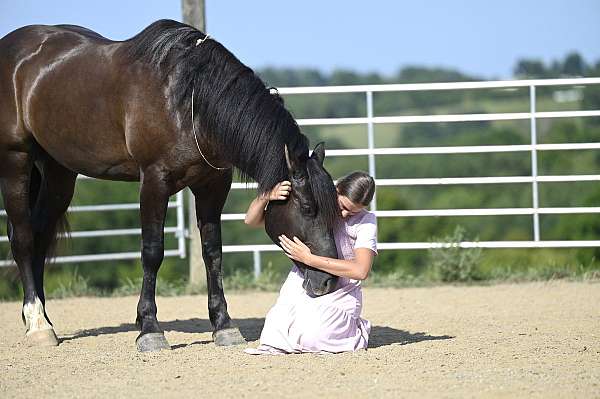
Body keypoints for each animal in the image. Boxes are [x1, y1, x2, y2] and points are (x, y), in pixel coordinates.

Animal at [0, 20, 340, 352]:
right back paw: (38, 325)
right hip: (16, 159)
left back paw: (41, 317)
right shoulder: (154, 182)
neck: (189, 101)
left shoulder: (213, 186)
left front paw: (223, 325)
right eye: (307, 208)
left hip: (59, 171)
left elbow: (213, 252)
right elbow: (153, 252)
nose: (329, 281)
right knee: (24, 238)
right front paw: (149, 328)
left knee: (41, 235)